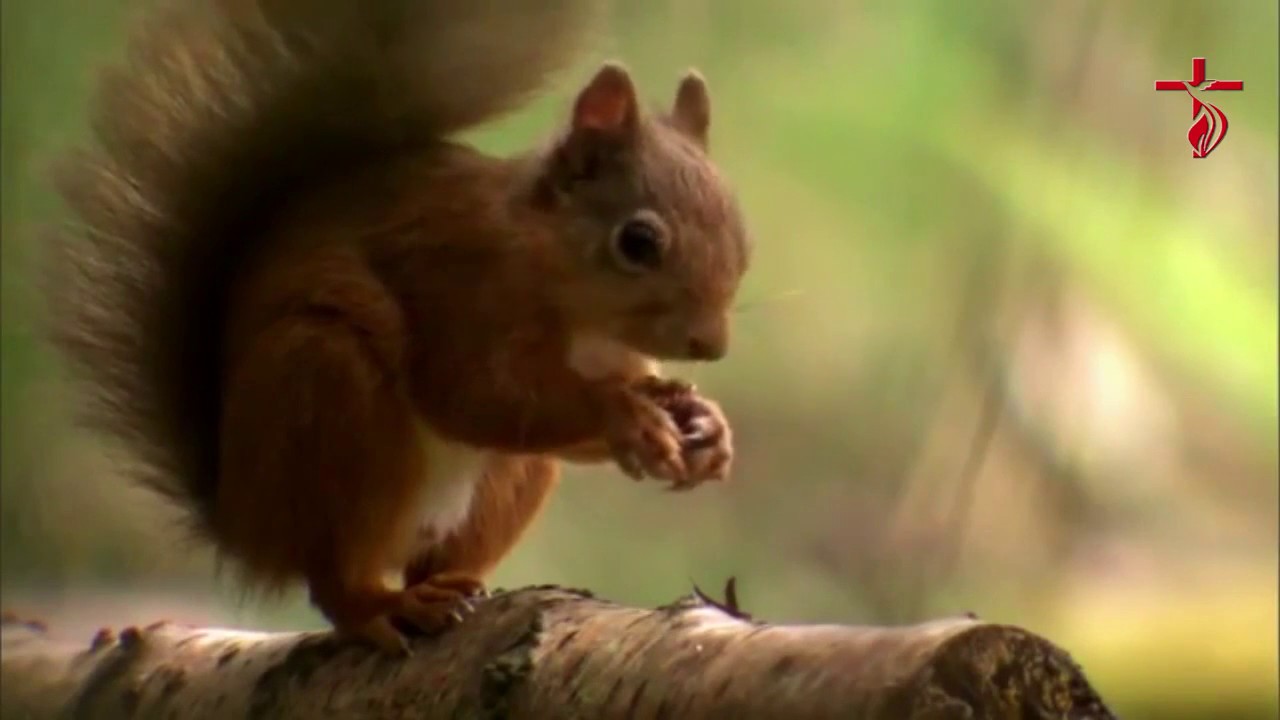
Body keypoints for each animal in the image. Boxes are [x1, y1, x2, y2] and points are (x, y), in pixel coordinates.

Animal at [42, 0, 750, 653]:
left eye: (742, 239)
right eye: (637, 242)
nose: (712, 346)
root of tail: (241, 522)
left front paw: (700, 421)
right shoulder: (459, 292)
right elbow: (478, 397)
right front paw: (626, 414)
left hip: (498, 482)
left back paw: (450, 589)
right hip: (330, 400)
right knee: (335, 577)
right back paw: (381, 606)